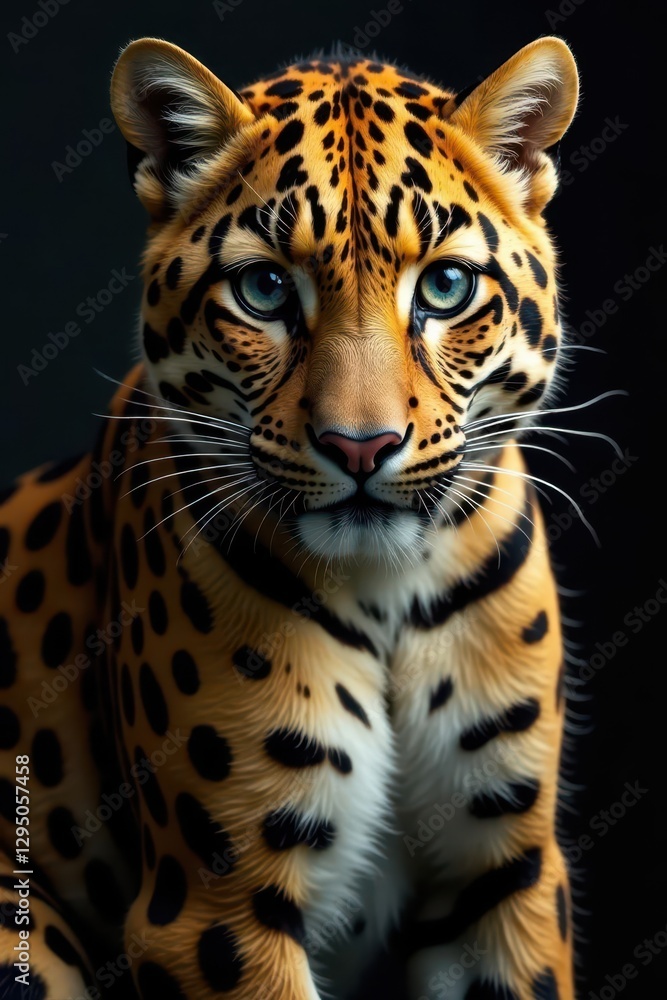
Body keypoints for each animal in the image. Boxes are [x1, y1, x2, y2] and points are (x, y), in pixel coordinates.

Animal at [0, 33, 580, 1000]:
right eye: (266, 291)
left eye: (446, 287)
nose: (360, 445)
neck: (389, 596)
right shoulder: (215, 909)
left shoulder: (505, 877)